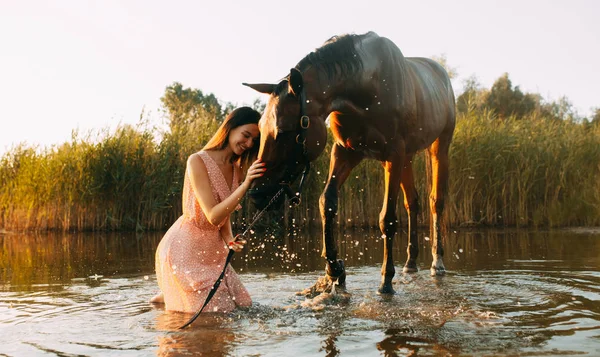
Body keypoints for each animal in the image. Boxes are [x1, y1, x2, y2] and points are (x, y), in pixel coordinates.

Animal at [244, 32, 454, 294]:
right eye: (260, 128)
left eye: (282, 131)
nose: (256, 193)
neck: (367, 86)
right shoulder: (345, 152)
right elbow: (327, 203)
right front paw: (334, 269)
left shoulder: (393, 155)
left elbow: (387, 219)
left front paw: (386, 282)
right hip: (407, 158)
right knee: (413, 203)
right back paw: (410, 263)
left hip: (438, 148)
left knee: (436, 202)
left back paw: (437, 262)